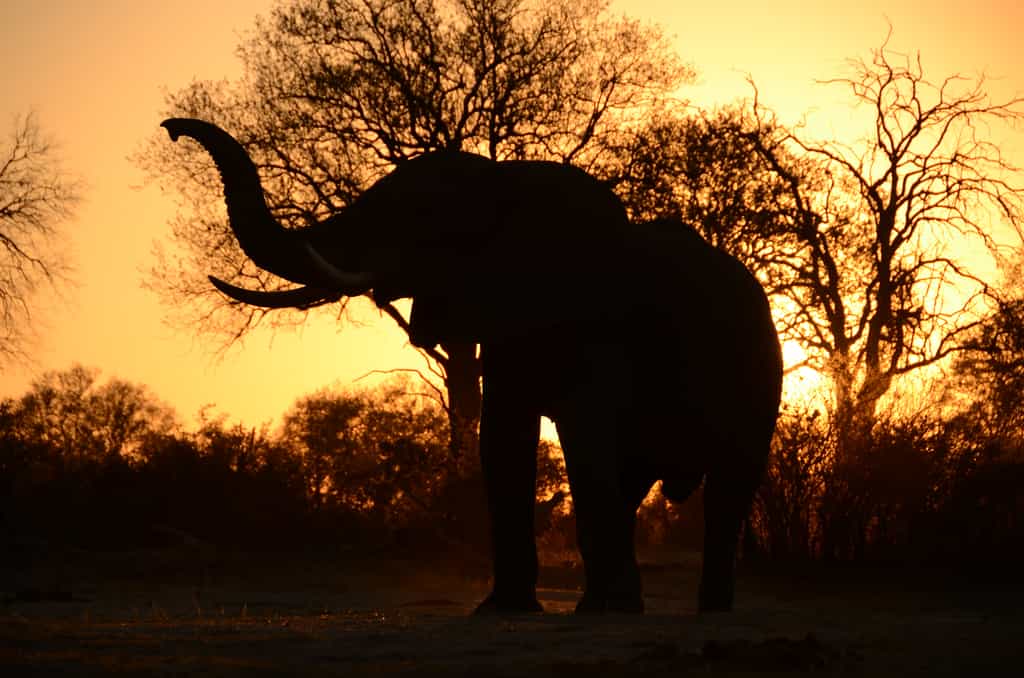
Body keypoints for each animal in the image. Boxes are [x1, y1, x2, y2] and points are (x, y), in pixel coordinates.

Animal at [161, 118, 783, 613]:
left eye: (414, 217)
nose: (171, 129)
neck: (502, 186)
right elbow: (503, 438)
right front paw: (504, 611)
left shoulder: (600, 324)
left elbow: (583, 436)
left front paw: (606, 612)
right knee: (635, 481)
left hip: (761, 378)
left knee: (727, 487)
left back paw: (705, 610)